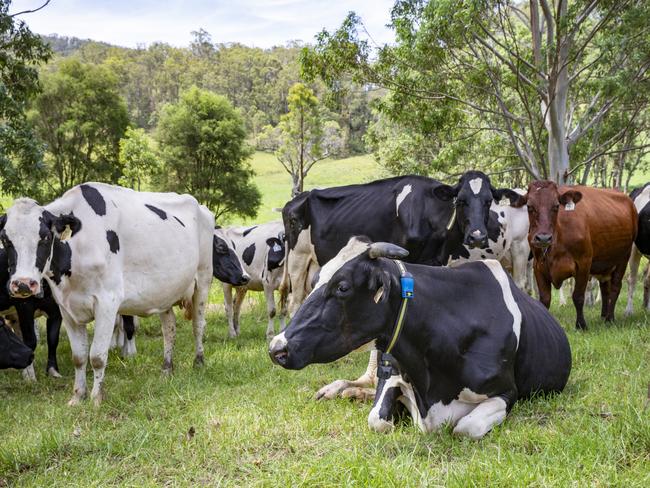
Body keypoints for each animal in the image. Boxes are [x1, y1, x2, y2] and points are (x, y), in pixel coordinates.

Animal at [0, 246, 62, 380]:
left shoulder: (57, 311)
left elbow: (53, 339)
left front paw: (53, 371)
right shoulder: (24, 306)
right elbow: (30, 341)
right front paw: (30, 376)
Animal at [268, 238, 568, 440]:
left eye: (342, 287)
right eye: (315, 280)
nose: (276, 348)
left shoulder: (506, 391)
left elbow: (465, 428)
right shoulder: (392, 372)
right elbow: (377, 418)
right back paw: (339, 390)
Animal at [512, 181, 636, 330]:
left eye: (556, 206)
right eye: (529, 206)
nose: (543, 238)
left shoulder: (584, 263)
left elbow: (578, 296)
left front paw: (581, 325)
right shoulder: (538, 267)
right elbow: (545, 299)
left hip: (624, 257)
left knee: (616, 287)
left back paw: (609, 318)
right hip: (605, 263)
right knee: (605, 288)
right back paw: (603, 315)